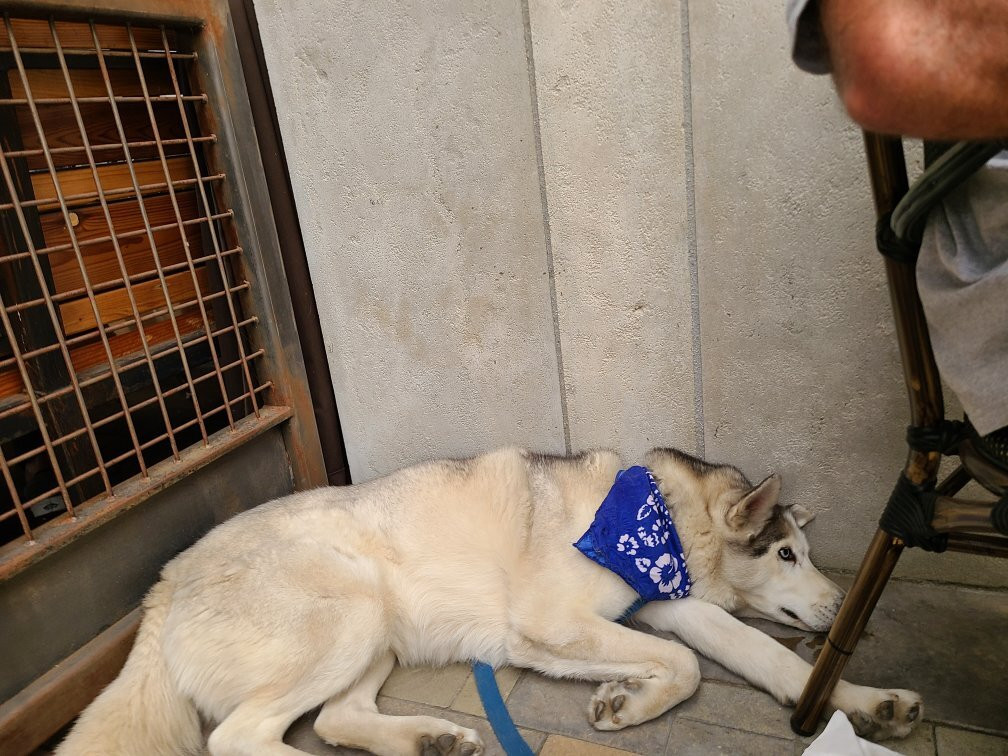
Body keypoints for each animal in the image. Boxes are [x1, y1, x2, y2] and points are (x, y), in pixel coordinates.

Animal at [57, 446, 922, 755]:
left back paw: (428, 741)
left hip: (377, 633)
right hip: (349, 612)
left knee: (334, 720)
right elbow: (681, 666)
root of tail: (166, 580)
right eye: (785, 553)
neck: (655, 521)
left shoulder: (670, 608)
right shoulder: (553, 626)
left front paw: (865, 701)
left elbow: (770, 662)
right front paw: (628, 700)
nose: (840, 605)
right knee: (239, 738)